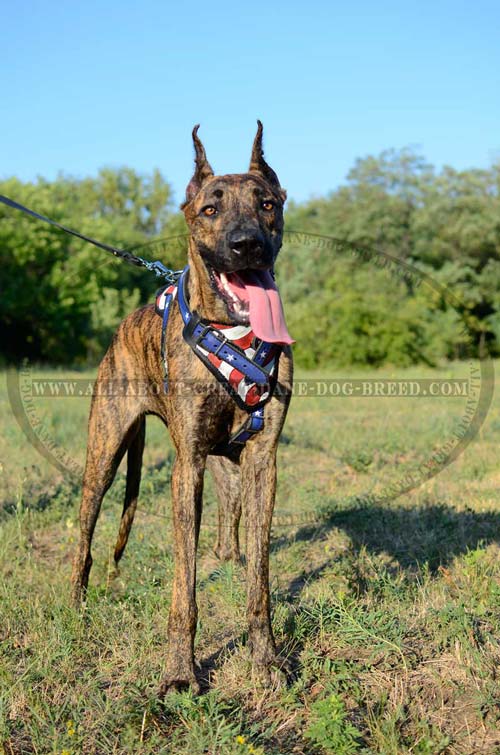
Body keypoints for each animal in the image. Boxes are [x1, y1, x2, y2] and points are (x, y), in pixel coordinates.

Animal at [70, 121, 292, 692]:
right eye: (210, 209)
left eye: (266, 204)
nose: (246, 245)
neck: (233, 334)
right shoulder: (186, 465)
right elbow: (183, 585)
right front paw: (179, 672)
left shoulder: (263, 463)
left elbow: (260, 580)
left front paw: (266, 659)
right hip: (103, 456)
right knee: (84, 534)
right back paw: (75, 604)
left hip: (226, 465)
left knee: (229, 519)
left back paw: (228, 557)